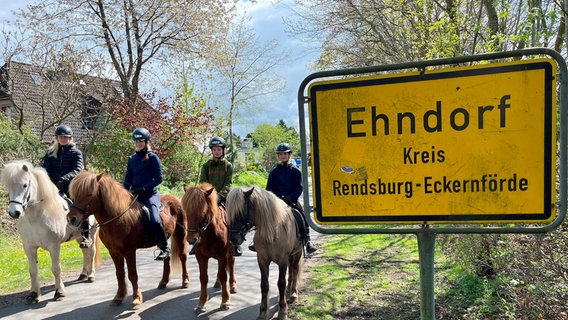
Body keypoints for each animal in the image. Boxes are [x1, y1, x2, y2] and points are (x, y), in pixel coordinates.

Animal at [0, 161, 100, 304]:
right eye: (8, 186)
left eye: (25, 185)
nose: (14, 212)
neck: (36, 217)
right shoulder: (29, 247)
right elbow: (33, 271)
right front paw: (33, 294)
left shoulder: (54, 246)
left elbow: (56, 269)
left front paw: (59, 292)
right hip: (79, 237)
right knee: (85, 252)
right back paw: (83, 274)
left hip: (91, 233)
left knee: (91, 253)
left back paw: (91, 275)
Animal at [65, 171, 187, 306]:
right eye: (74, 195)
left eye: (89, 194)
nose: (71, 218)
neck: (119, 219)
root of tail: (174, 199)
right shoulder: (114, 252)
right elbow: (120, 274)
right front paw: (119, 296)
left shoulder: (129, 251)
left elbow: (132, 274)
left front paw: (136, 298)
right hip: (162, 240)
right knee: (166, 256)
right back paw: (163, 281)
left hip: (180, 234)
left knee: (182, 256)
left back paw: (185, 281)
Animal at [181, 182, 236, 312]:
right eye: (186, 211)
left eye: (202, 213)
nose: (191, 239)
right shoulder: (201, 257)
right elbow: (203, 278)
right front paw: (201, 302)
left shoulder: (222, 255)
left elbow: (223, 275)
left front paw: (225, 301)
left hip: (230, 251)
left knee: (231, 264)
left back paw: (232, 285)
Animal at [225, 185, 304, 320]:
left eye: (241, 212)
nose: (233, 239)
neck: (272, 233)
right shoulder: (262, 260)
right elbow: (264, 285)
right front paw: (262, 312)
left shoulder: (282, 261)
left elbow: (280, 283)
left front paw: (282, 311)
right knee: (291, 271)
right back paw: (289, 291)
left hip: (297, 253)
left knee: (294, 269)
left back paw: (293, 294)